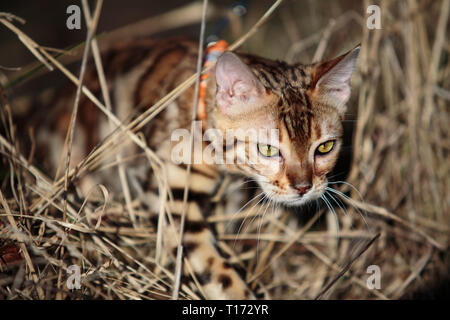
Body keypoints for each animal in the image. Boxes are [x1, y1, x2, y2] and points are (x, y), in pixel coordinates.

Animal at [14, 37, 360, 300]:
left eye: (325, 148)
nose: (303, 187)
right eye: (268, 149)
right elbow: (211, 267)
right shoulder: (170, 193)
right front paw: (238, 293)